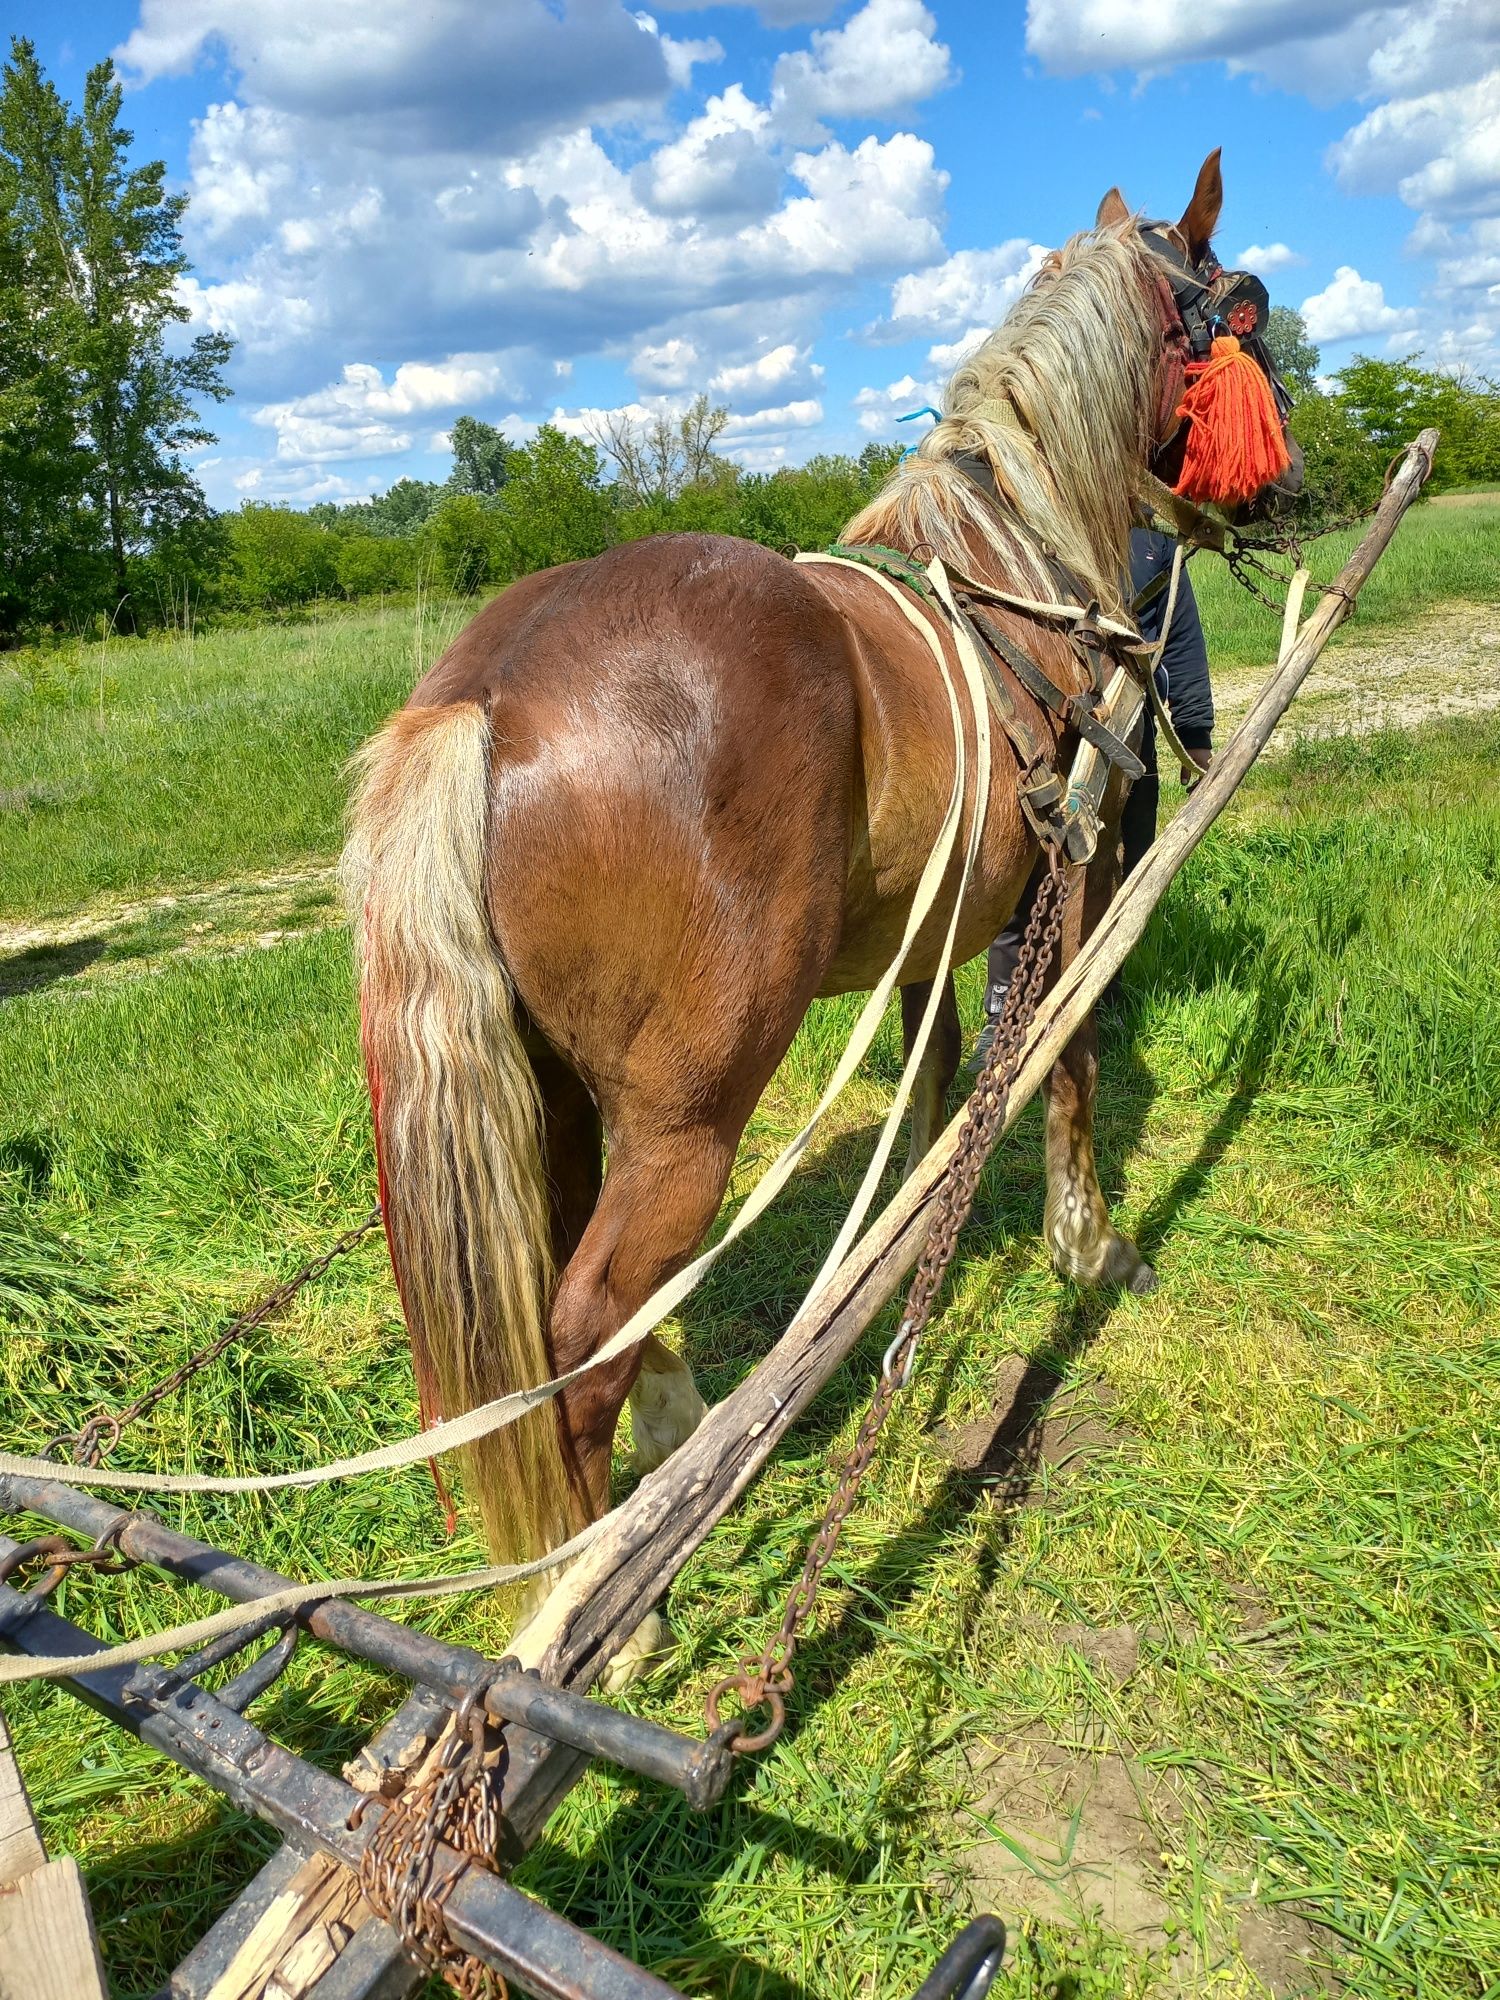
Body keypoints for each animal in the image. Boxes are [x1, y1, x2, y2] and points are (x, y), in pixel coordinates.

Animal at [344, 152, 1304, 1672]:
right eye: (1244, 307)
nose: (1293, 485)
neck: (1021, 570)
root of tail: (487, 694)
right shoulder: (1082, 876)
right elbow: (1071, 1057)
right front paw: (1087, 1242)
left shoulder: (942, 919)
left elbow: (935, 1074)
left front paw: (911, 1232)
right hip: (689, 1106)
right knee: (593, 1317)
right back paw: (608, 1598)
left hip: (553, 1093)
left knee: (580, 1299)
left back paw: (664, 1455)